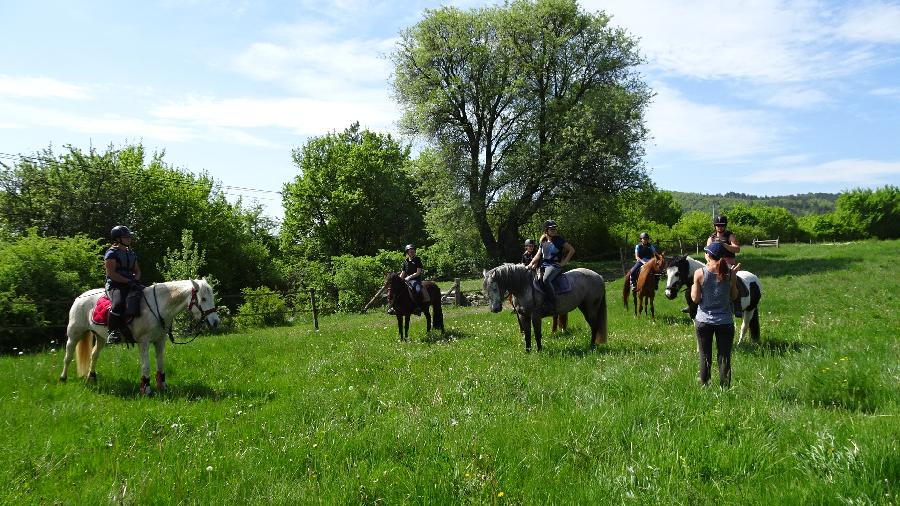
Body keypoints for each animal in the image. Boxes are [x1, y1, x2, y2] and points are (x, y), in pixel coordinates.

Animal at [59, 278, 220, 394]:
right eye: (203, 299)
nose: (215, 322)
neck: (158, 307)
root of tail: (80, 297)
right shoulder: (144, 342)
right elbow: (146, 366)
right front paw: (146, 389)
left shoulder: (160, 341)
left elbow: (161, 364)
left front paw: (163, 387)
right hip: (74, 334)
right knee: (68, 356)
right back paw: (63, 379)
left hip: (100, 337)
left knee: (94, 355)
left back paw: (91, 378)